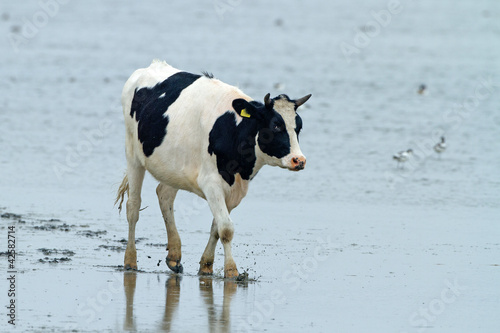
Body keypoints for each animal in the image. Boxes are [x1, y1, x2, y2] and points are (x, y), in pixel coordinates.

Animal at [115, 59, 310, 278]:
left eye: (298, 127)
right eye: (276, 125)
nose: (298, 160)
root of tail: (152, 66)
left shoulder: (234, 189)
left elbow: (217, 228)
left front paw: (206, 265)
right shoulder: (211, 183)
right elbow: (226, 229)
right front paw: (232, 270)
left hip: (173, 166)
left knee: (164, 195)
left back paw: (174, 256)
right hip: (133, 154)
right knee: (133, 206)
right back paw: (130, 260)